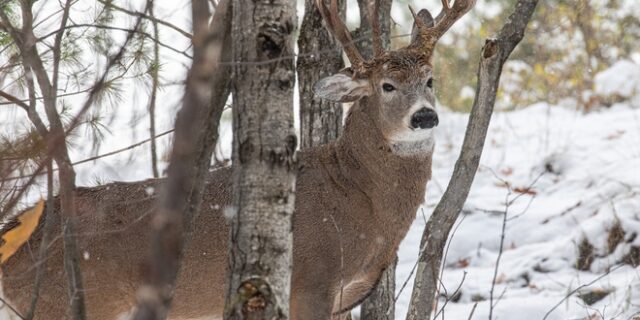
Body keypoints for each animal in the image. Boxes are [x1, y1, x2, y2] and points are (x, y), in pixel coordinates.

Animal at [1, 1, 476, 318]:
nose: (425, 116)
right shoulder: (310, 283)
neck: (359, 202)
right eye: (386, 86)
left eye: (430, 80)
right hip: (64, 303)